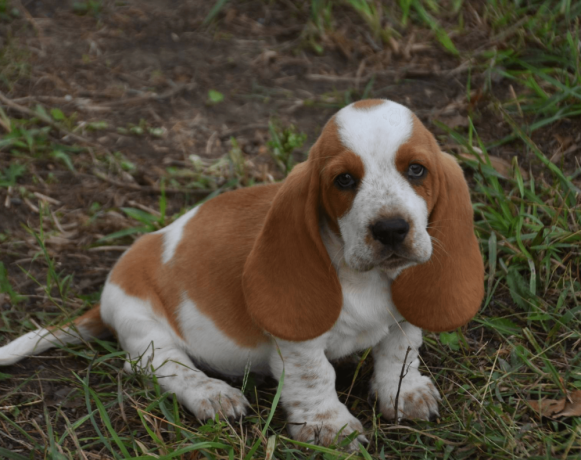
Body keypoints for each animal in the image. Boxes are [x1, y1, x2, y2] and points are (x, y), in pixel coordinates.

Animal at [1, 99, 484, 450]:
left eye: (417, 170)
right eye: (344, 180)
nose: (391, 229)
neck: (364, 276)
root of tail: (104, 297)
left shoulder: (403, 316)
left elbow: (400, 351)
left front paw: (404, 393)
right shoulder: (299, 345)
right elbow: (316, 378)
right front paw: (329, 427)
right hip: (141, 321)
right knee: (158, 364)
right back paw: (213, 395)